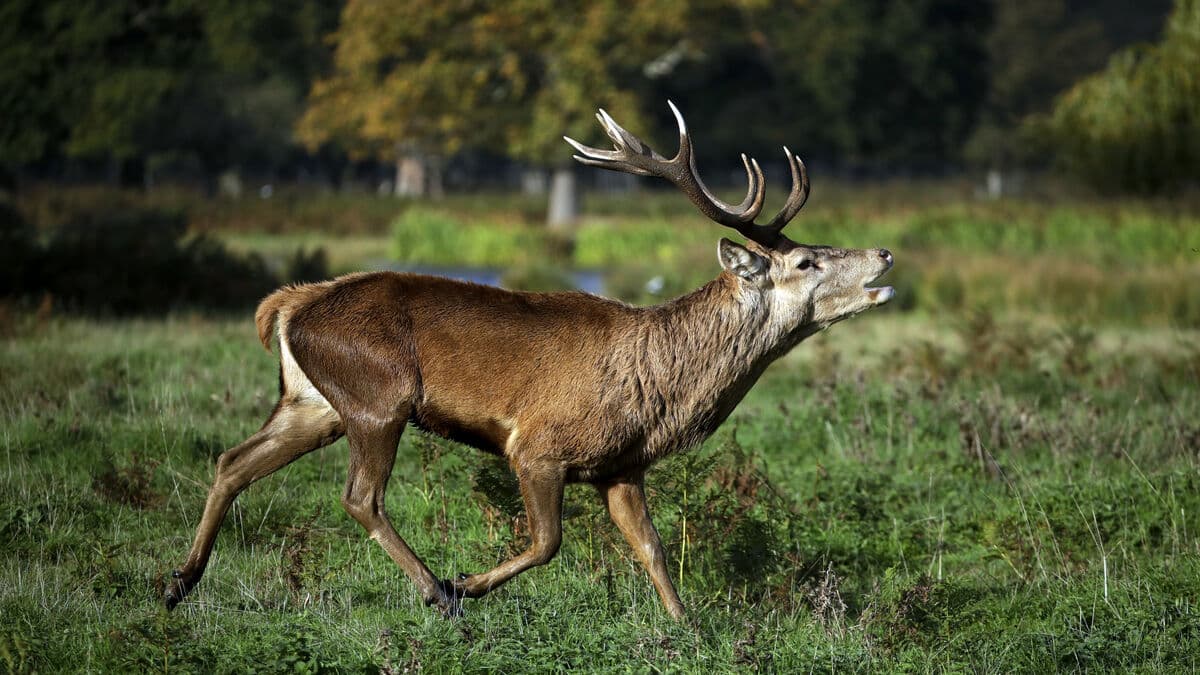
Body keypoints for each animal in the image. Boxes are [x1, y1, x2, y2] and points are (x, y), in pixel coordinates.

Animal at [164, 103, 894, 621]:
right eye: (807, 262)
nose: (885, 254)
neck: (663, 388)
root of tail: (290, 303)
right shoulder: (538, 445)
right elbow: (549, 543)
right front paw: (465, 581)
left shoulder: (622, 464)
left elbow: (653, 549)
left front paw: (688, 628)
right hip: (377, 396)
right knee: (359, 497)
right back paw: (436, 590)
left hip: (314, 402)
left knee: (233, 461)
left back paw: (178, 581)